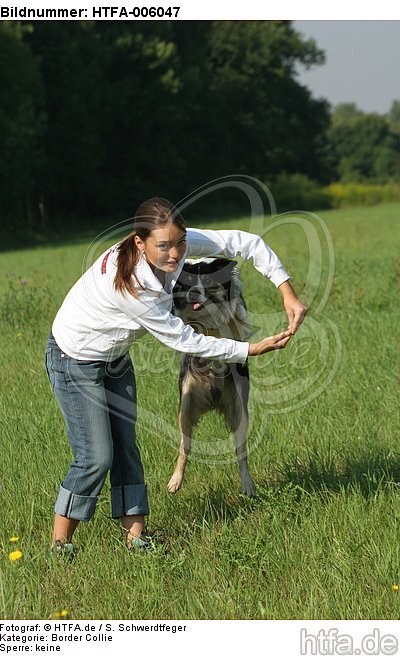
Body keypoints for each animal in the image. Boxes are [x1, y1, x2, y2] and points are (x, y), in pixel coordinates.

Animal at [166, 258, 256, 494]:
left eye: (206, 282)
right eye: (188, 282)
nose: (194, 293)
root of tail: (213, 399)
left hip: (239, 409)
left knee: (240, 449)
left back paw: (247, 484)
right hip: (186, 404)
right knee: (185, 445)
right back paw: (175, 481)